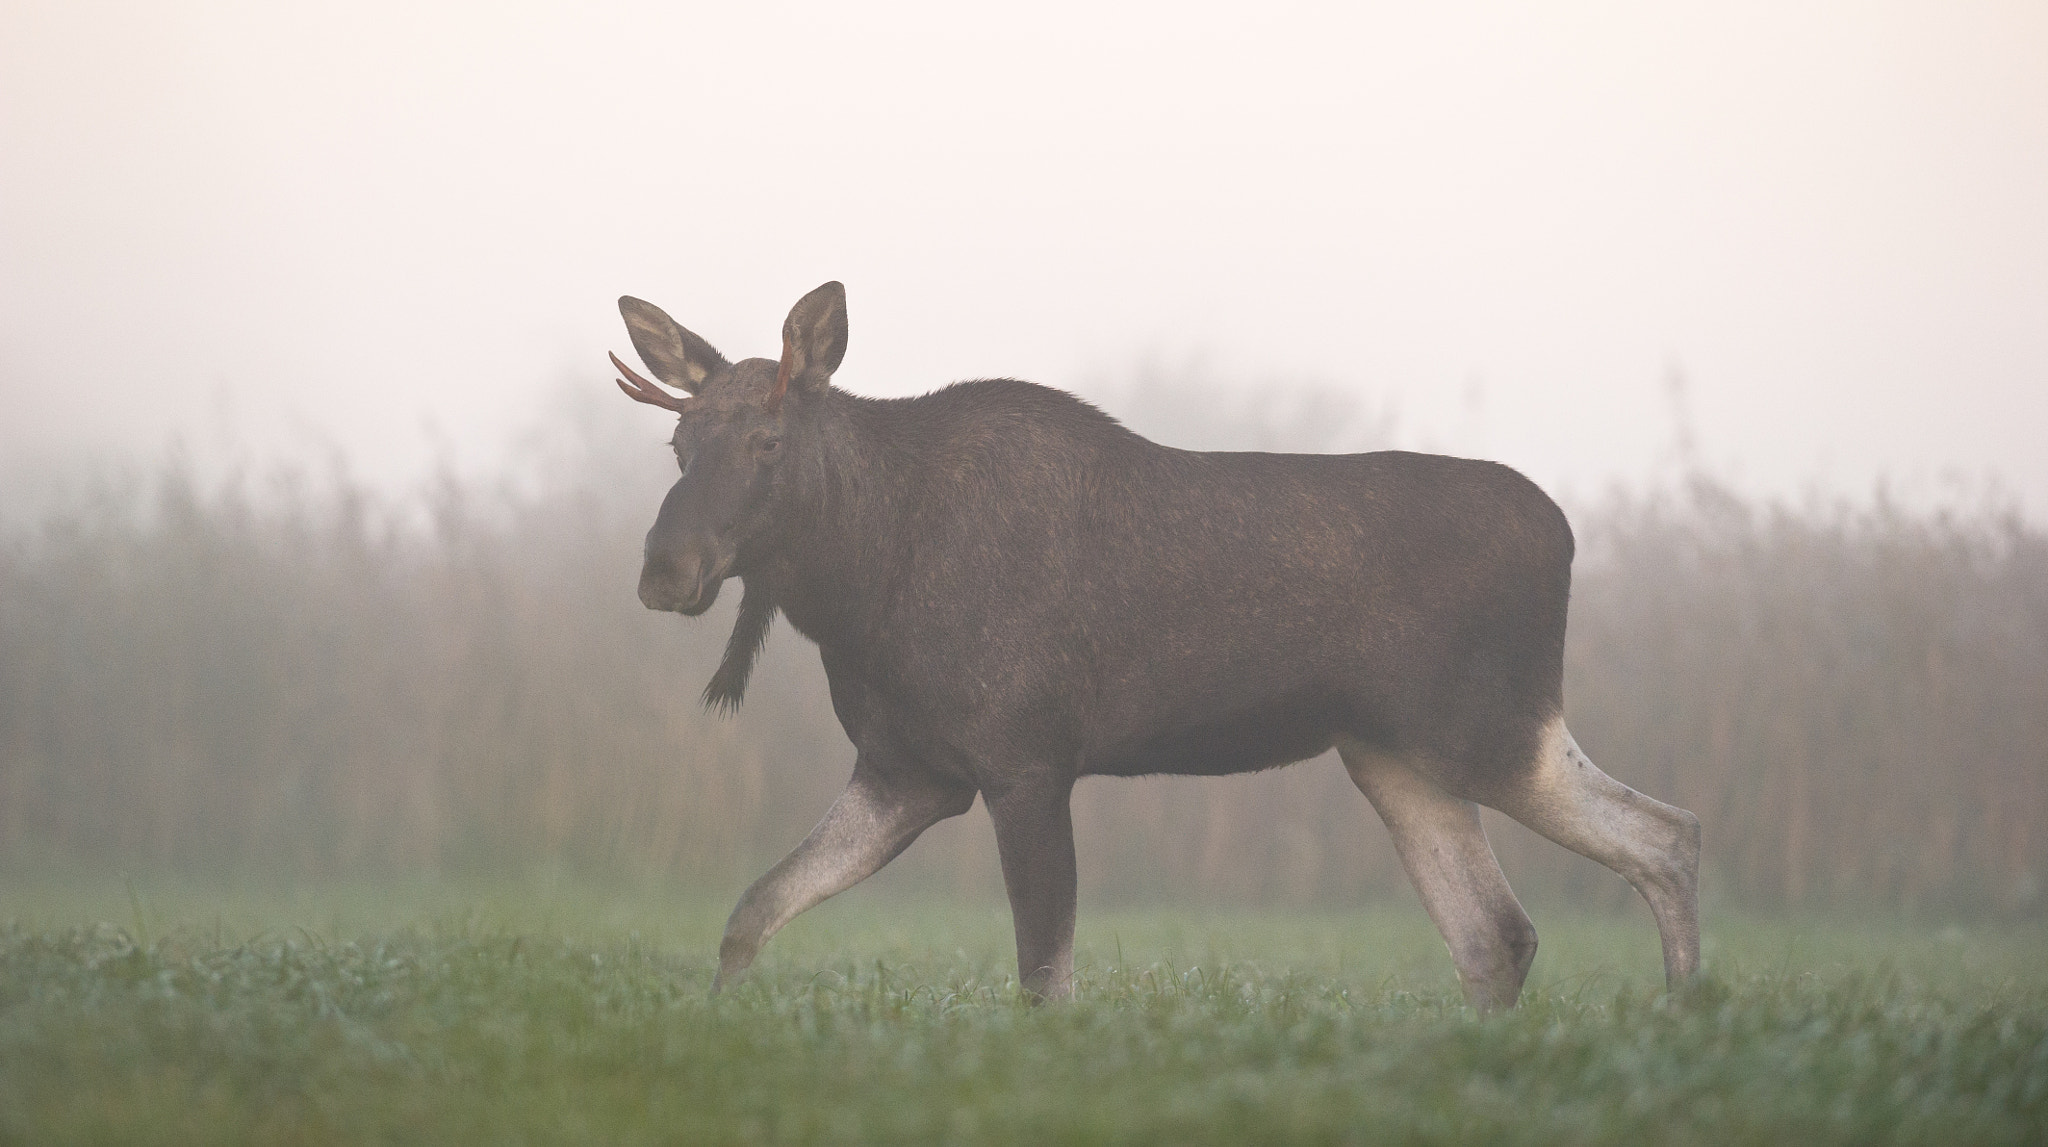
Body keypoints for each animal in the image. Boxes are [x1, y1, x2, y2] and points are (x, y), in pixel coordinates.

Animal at [609, 281, 1701, 1009]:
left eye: (768, 443)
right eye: (677, 445)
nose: (665, 568)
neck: (856, 589)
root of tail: (1567, 534)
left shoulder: (1025, 758)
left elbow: (1045, 975)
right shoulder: (905, 771)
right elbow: (751, 912)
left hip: (1488, 724)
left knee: (1667, 834)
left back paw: (1684, 1022)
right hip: (1397, 757)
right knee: (1496, 932)